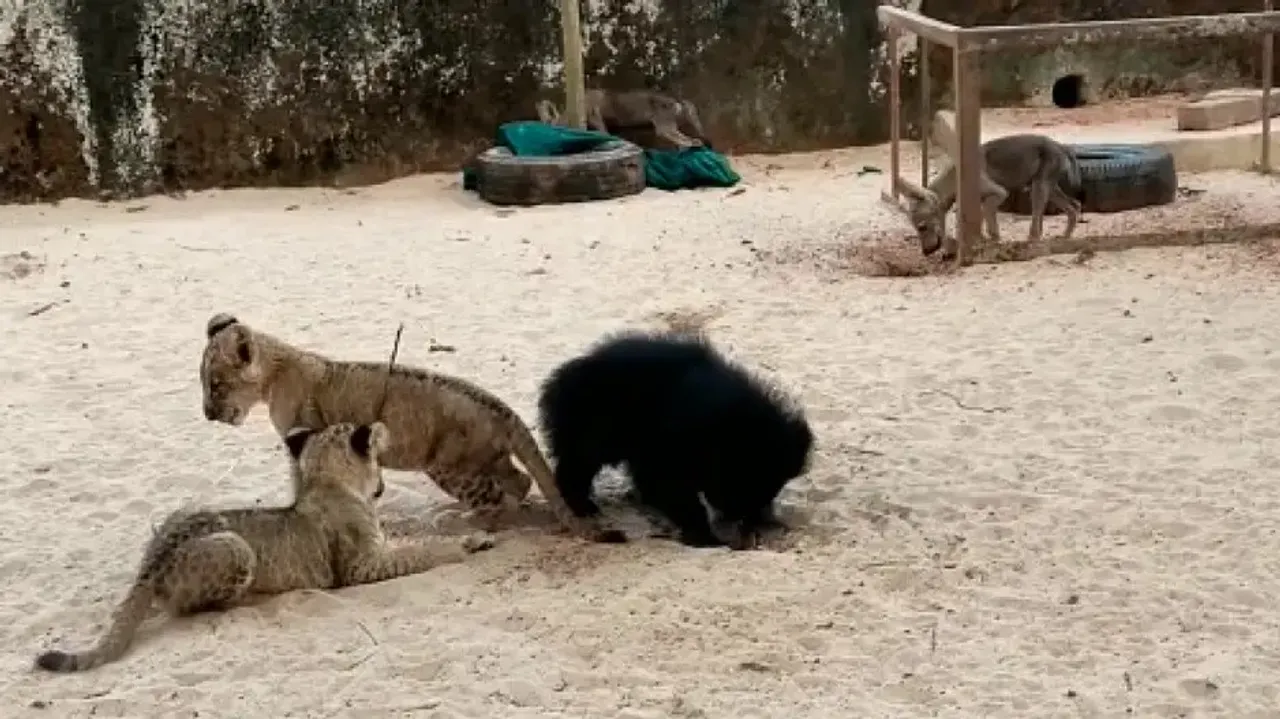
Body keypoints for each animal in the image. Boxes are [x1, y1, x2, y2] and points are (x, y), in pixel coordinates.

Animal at [35, 421, 495, 673]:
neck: (325, 481)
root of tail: (150, 562)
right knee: (192, 608)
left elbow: (413, 537)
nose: (381, 485)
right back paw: (249, 600)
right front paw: (463, 547)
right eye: (378, 462)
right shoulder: (361, 566)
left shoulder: (379, 544)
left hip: (190, 508)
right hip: (236, 547)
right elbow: (420, 550)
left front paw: (472, 536)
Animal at [199, 313, 625, 544]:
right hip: (484, 458)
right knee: (519, 481)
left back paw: (467, 522)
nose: (206, 414)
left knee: (504, 492)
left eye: (216, 385)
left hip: (448, 466)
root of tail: (503, 409)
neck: (275, 371)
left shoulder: (302, 440)